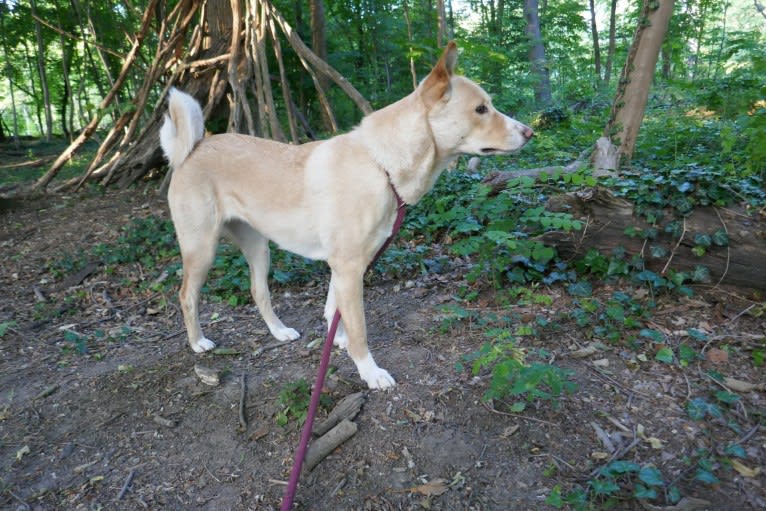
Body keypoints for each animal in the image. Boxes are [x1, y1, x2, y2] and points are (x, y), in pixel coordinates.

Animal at [159, 42, 536, 390]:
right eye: (481, 109)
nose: (530, 132)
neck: (381, 164)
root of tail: (193, 149)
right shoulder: (349, 267)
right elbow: (359, 331)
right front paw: (369, 372)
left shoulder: (346, 267)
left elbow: (333, 310)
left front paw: (336, 340)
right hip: (202, 250)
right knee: (187, 296)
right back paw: (198, 342)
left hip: (259, 249)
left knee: (259, 293)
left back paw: (279, 332)